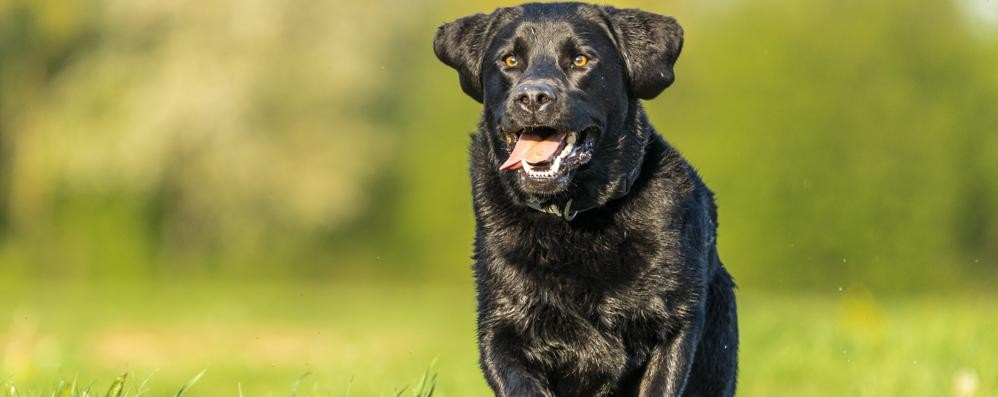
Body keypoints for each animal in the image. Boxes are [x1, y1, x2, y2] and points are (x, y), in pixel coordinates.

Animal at [434, 2, 740, 392]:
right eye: (509, 60)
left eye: (580, 59)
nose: (532, 97)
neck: (574, 216)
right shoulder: (501, 332)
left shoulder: (675, 325)